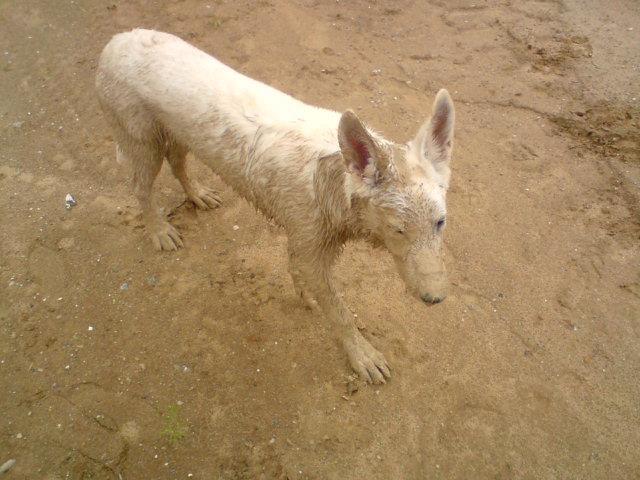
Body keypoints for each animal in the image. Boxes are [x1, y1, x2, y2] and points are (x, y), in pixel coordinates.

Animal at [96, 29, 456, 382]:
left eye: (440, 223)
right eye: (398, 230)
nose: (435, 299)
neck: (332, 187)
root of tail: (115, 41)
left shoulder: (308, 239)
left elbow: (300, 274)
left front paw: (306, 299)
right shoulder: (310, 242)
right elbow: (339, 312)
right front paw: (363, 357)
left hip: (177, 135)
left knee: (177, 162)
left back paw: (198, 194)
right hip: (142, 143)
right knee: (141, 188)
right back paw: (160, 231)